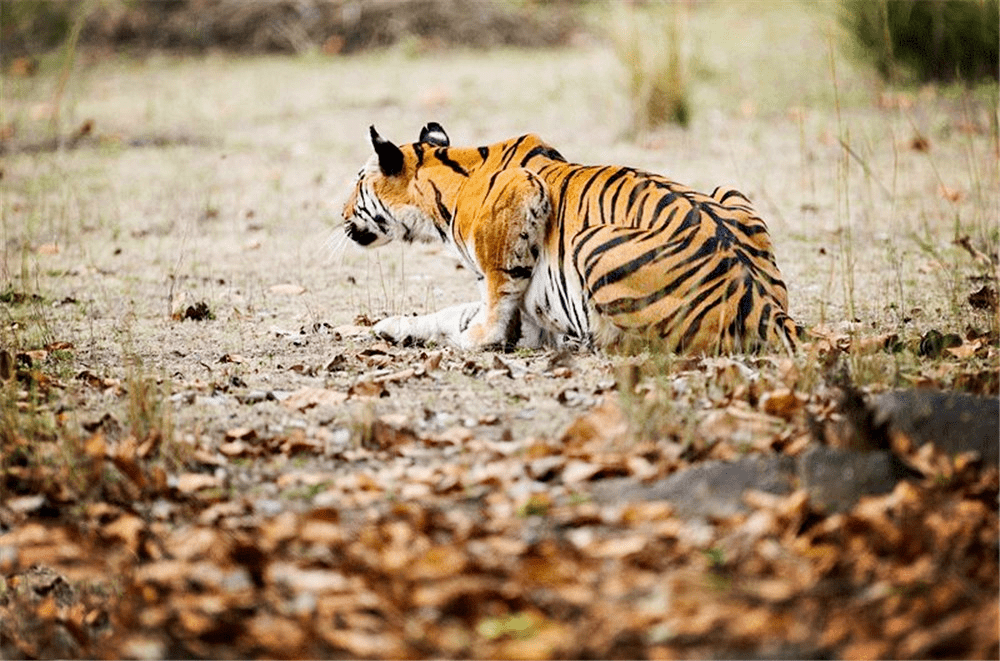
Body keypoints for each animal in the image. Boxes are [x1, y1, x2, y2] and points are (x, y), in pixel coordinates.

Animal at [340, 120, 800, 354]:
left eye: (358, 181)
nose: (341, 215)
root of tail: (768, 309)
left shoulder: (523, 190)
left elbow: (490, 311)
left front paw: (470, 341)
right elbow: (456, 310)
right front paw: (389, 327)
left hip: (592, 244)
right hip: (729, 190)